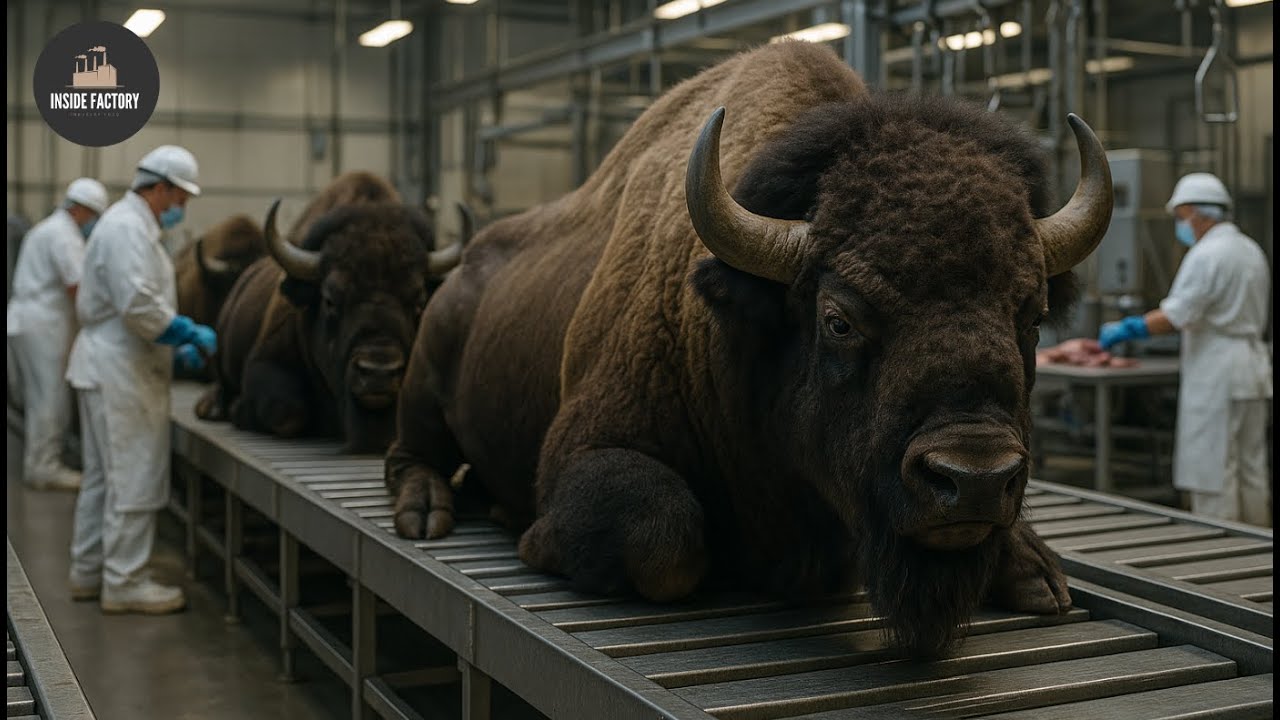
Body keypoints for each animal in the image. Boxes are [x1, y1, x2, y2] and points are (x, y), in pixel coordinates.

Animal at [194, 171, 465, 453]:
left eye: (419, 301)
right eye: (330, 299)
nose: (378, 372)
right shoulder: (265, 363)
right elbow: (289, 413)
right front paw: (239, 410)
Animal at [384, 42, 1112, 654]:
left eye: (1033, 317)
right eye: (838, 319)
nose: (975, 478)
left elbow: (1039, 571)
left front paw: (1037, 572)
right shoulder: (587, 448)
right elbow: (664, 536)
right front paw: (533, 536)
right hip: (421, 384)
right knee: (412, 454)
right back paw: (430, 511)